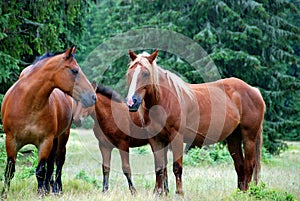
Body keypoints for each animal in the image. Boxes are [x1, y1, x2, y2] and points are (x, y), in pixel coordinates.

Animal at [0, 46, 96, 198]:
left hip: (62, 136)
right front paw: (4, 195)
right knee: (51, 164)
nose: (93, 97)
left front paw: (40, 193)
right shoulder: (11, 141)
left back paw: (56, 189)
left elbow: (41, 170)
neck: (28, 104)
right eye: (75, 70)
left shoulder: (45, 142)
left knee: (58, 162)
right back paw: (48, 188)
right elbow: (9, 171)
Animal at [125, 49, 266, 196]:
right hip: (233, 138)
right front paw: (158, 193)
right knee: (240, 166)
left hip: (249, 137)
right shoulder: (155, 140)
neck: (165, 100)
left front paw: (179, 194)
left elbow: (177, 167)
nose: (132, 102)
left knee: (249, 166)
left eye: (146, 73)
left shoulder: (177, 137)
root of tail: (254, 90)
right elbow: (159, 168)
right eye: (129, 73)